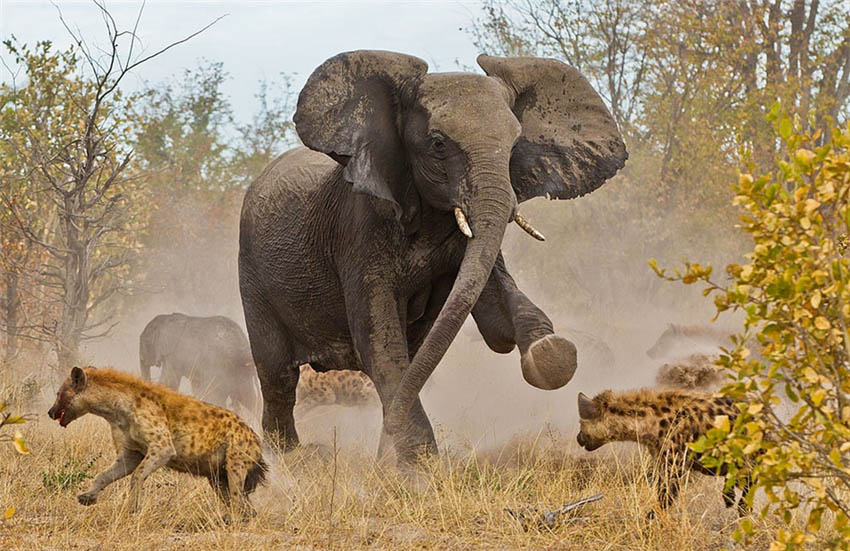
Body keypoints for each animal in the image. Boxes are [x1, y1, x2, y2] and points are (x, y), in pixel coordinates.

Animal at [235, 50, 628, 462]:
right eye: (438, 144)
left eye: (514, 145)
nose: (380, 455)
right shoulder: (359, 228)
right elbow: (378, 340)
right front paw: (418, 467)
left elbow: (494, 316)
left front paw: (550, 351)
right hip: (252, 272)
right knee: (278, 374)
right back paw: (285, 456)